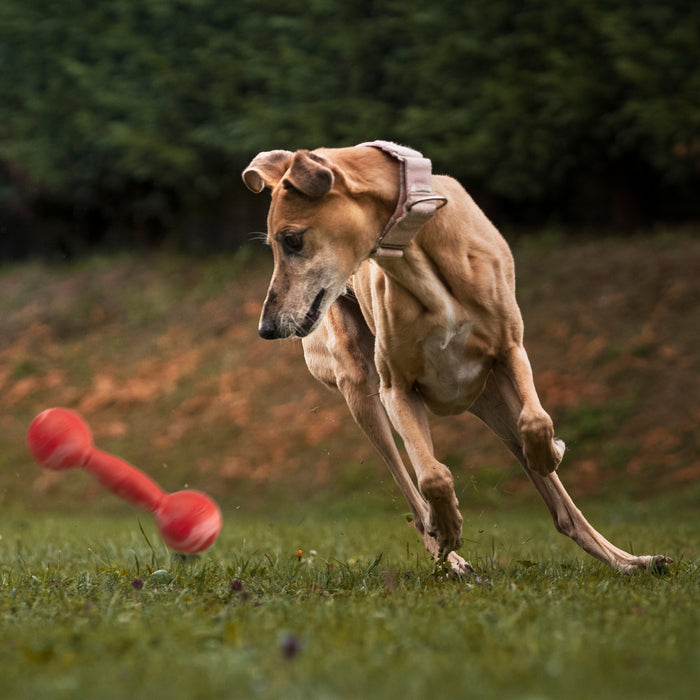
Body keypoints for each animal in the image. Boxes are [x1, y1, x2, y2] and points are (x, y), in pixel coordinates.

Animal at [243, 142, 668, 576]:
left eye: (292, 240)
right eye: (275, 244)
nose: (267, 328)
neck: (418, 252)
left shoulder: (511, 351)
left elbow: (536, 421)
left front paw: (552, 451)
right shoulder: (398, 389)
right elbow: (433, 477)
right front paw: (447, 529)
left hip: (494, 399)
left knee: (561, 507)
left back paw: (630, 561)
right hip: (361, 391)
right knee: (413, 490)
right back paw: (451, 554)